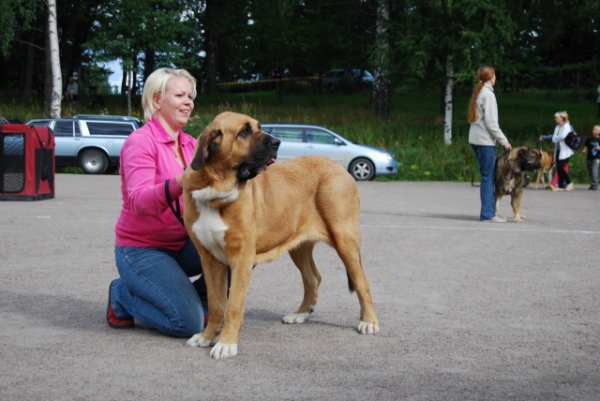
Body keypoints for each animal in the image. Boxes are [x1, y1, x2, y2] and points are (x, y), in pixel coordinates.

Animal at [183, 111, 380, 358]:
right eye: (244, 131)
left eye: (258, 127)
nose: (277, 142)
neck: (217, 190)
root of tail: (339, 168)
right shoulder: (210, 260)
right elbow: (217, 304)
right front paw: (207, 337)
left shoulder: (241, 260)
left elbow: (233, 306)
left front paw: (226, 344)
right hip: (298, 246)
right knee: (313, 278)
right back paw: (300, 314)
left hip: (345, 239)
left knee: (361, 280)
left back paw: (369, 321)